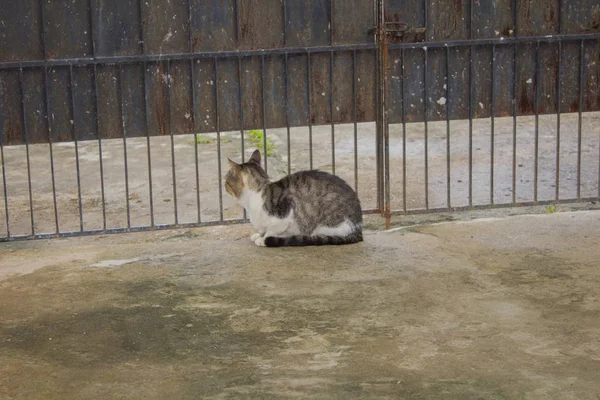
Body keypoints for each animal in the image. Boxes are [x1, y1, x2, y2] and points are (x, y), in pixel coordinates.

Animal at [224, 148, 360, 245]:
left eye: (226, 179)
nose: (223, 185)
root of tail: (358, 226)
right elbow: (264, 229)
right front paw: (259, 234)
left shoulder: (286, 212)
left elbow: (271, 230)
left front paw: (264, 239)